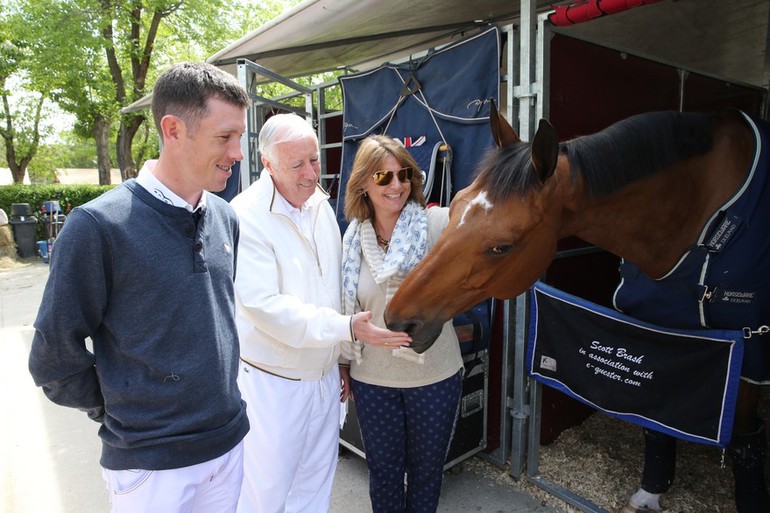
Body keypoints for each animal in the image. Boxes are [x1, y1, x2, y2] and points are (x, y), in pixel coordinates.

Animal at [388, 103, 764, 508]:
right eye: (454, 204)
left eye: (501, 247)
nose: (397, 320)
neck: (695, 209)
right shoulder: (653, 323)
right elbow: (654, 422)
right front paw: (650, 493)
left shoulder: (747, 353)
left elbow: (742, 440)